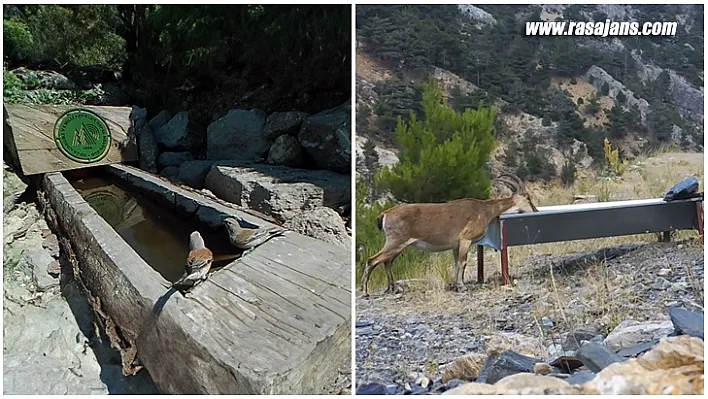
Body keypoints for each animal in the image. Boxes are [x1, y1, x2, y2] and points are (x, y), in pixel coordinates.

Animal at [356, 174, 540, 296]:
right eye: (528, 198)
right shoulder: (465, 240)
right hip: (396, 242)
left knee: (387, 262)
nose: (535, 210)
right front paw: (462, 286)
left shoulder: (456, 245)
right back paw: (365, 291)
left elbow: (456, 263)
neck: (484, 210)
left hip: (398, 245)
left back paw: (393, 288)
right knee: (373, 260)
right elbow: (462, 262)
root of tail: (385, 214)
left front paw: (455, 285)